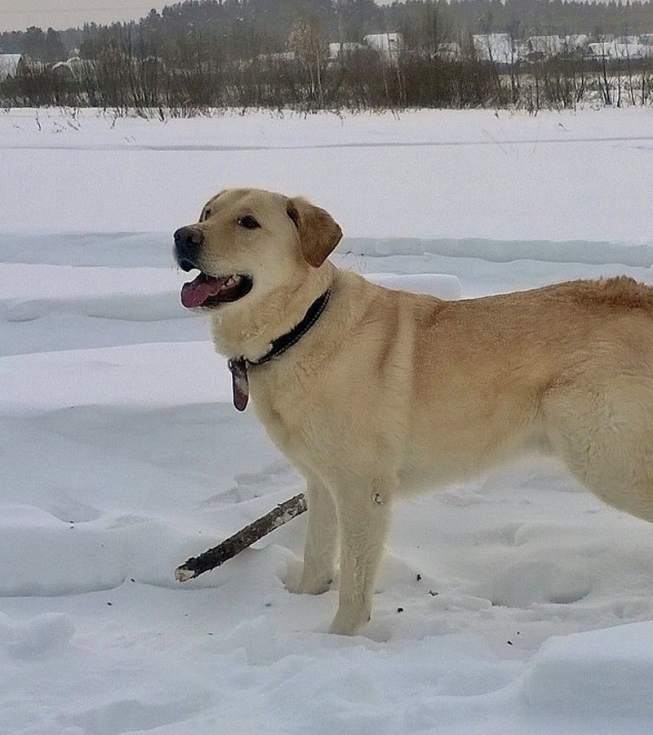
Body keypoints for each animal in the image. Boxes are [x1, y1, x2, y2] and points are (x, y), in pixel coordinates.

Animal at [173, 187, 652, 636]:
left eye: (248, 222)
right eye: (207, 213)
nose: (182, 236)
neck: (301, 326)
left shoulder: (363, 491)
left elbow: (354, 584)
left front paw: (340, 640)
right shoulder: (321, 483)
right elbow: (317, 558)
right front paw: (305, 603)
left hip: (606, 459)